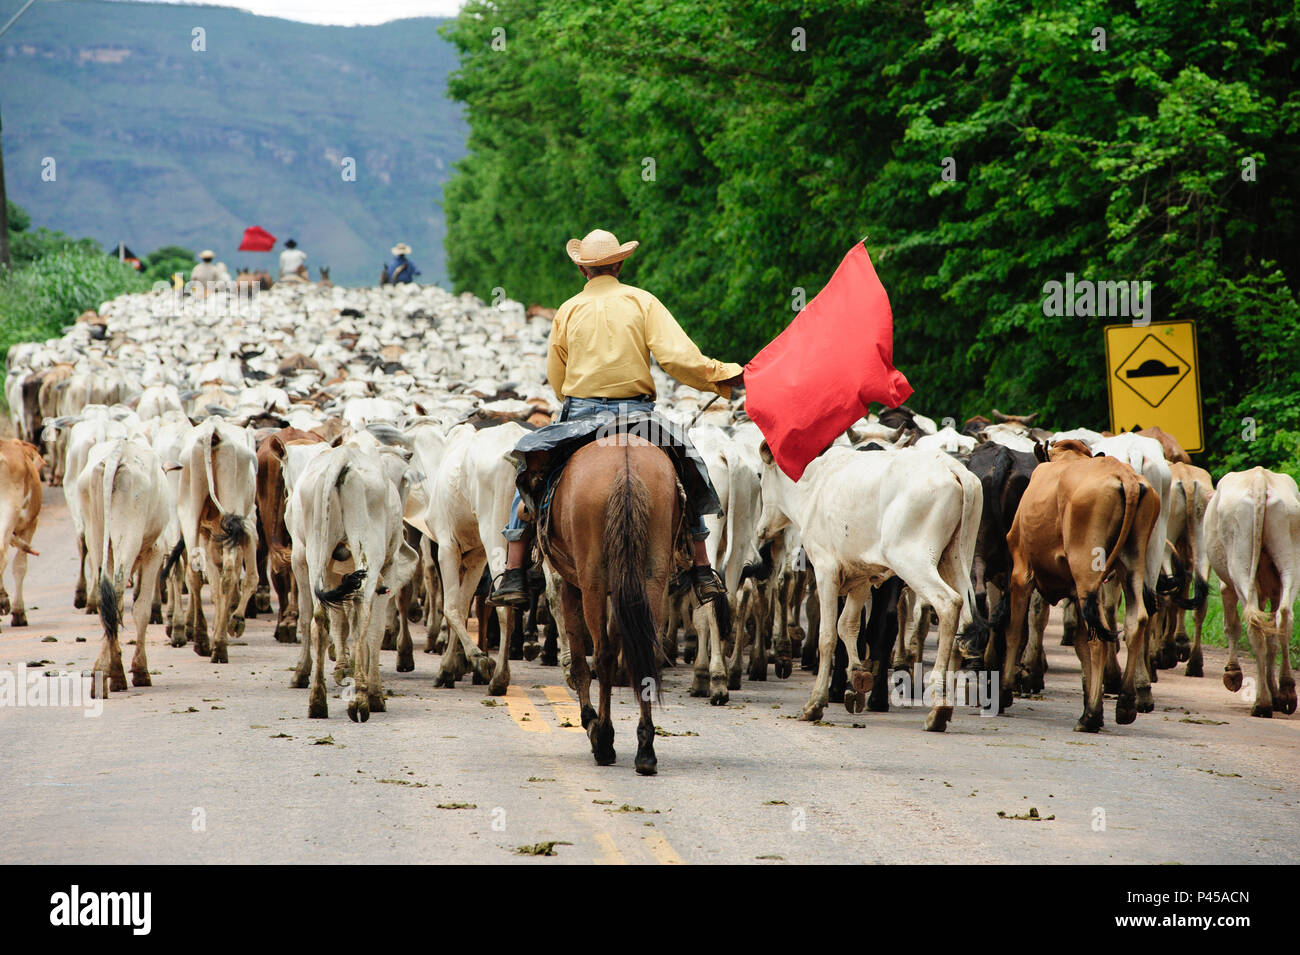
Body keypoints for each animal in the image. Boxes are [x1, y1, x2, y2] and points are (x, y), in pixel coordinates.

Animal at [543, 433, 681, 779]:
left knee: (603, 654)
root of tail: (625, 466)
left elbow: (580, 661)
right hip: (650, 575)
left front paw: (590, 720)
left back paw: (604, 738)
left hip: (591, 579)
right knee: (645, 651)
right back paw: (645, 749)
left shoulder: (569, 582)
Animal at [993, 441, 1159, 732]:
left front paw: (1004, 691)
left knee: (1100, 638)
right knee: (1134, 620)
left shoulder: (1021, 572)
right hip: (1130, 565)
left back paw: (1089, 716)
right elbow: (1081, 645)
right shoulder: (1072, 587)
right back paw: (1125, 704)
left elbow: (1015, 630)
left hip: (1087, 570)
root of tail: (1125, 477)